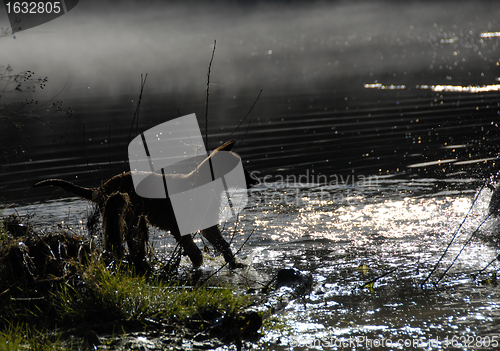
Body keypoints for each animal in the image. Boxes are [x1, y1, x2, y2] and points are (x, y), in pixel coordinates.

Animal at [33, 140, 256, 270]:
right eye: (239, 168)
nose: (254, 180)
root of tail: (104, 187)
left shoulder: (208, 227)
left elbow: (224, 246)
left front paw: (234, 265)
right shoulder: (179, 228)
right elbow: (195, 252)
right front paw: (197, 267)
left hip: (133, 221)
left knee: (131, 246)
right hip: (121, 216)